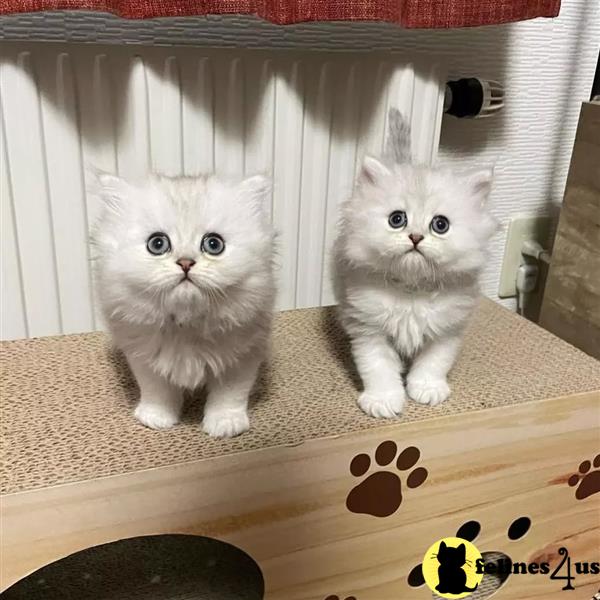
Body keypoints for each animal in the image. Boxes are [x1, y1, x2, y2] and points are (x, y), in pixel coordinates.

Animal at [92, 171, 276, 438]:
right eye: (157, 244)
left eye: (213, 245)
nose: (186, 263)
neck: (186, 326)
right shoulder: (144, 358)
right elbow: (156, 391)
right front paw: (156, 418)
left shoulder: (243, 355)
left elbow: (229, 395)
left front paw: (225, 425)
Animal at [332, 109, 496, 418]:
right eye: (397, 219)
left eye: (440, 225)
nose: (416, 237)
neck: (412, 290)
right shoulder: (368, 328)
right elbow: (378, 369)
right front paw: (383, 401)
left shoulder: (447, 329)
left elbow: (434, 364)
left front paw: (427, 389)